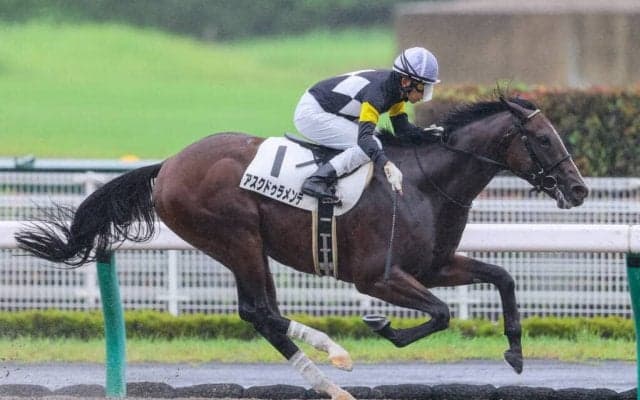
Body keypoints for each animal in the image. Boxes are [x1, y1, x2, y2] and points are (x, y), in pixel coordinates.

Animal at [16, 95, 588, 400]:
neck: (425, 184)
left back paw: (329, 374)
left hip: (246, 246)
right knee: (260, 312)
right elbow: (442, 313)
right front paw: (383, 327)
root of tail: (168, 165)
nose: (579, 189)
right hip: (237, 237)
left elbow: (502, 277)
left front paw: (515, 351)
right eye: (543, 139)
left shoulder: (435, 265)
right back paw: (335, 363)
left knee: (263, 314)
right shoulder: (377, 276)